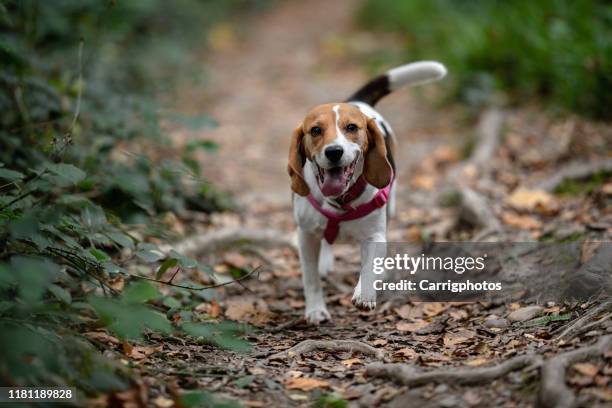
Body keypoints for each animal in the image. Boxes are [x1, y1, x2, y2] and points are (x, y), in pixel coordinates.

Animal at [286, 60, 444, 324]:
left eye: (352, 127)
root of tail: (356, 100)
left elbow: (370, 266)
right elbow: (310, 277)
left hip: (390, 207)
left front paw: (365, 293)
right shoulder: (305, 235)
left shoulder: (374, 235)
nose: (334, 152)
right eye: (316, 130)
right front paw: (316, 309)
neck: (339, 200)